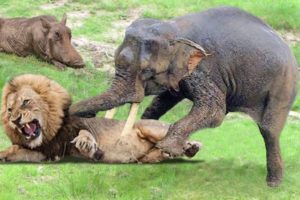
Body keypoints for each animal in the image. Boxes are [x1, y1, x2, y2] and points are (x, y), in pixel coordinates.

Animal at [0, 74, 202, 163]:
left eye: (25, 101)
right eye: (9, 109)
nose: (15, 119)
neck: (50, 133)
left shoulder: (80, 128)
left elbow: (84, 132)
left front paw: (86, 144)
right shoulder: (45, 151)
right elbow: (14, 151)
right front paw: (4, 155)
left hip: (151, 128)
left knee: (175, 139)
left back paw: (190, 146)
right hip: (145, 157)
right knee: (158, 154)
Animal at [69, 6, 298, 188]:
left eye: (147, 72)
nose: (89, 116)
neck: (174, 29)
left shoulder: (205, 69)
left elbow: (215, 112)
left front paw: (167, 149)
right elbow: (163, 101)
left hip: (284, 84)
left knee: (268, 130)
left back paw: (273, 184)